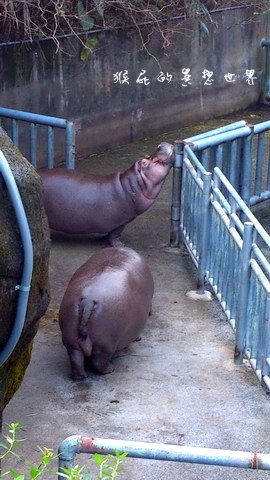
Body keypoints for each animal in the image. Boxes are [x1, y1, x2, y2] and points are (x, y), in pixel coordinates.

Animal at [38, 142, 173, 248]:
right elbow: (115, 235)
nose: (160, 145)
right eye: (144, 162)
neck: (131, 185)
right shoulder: (121, 221)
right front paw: (121, 245)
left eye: (146, 156)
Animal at [58, 248, 154, 378]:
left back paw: (79, 376)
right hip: (106, 345)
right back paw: (110, 369)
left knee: (76, 359)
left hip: (71, 340)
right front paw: (138, 338)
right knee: (99, 362)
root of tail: (88, 301)